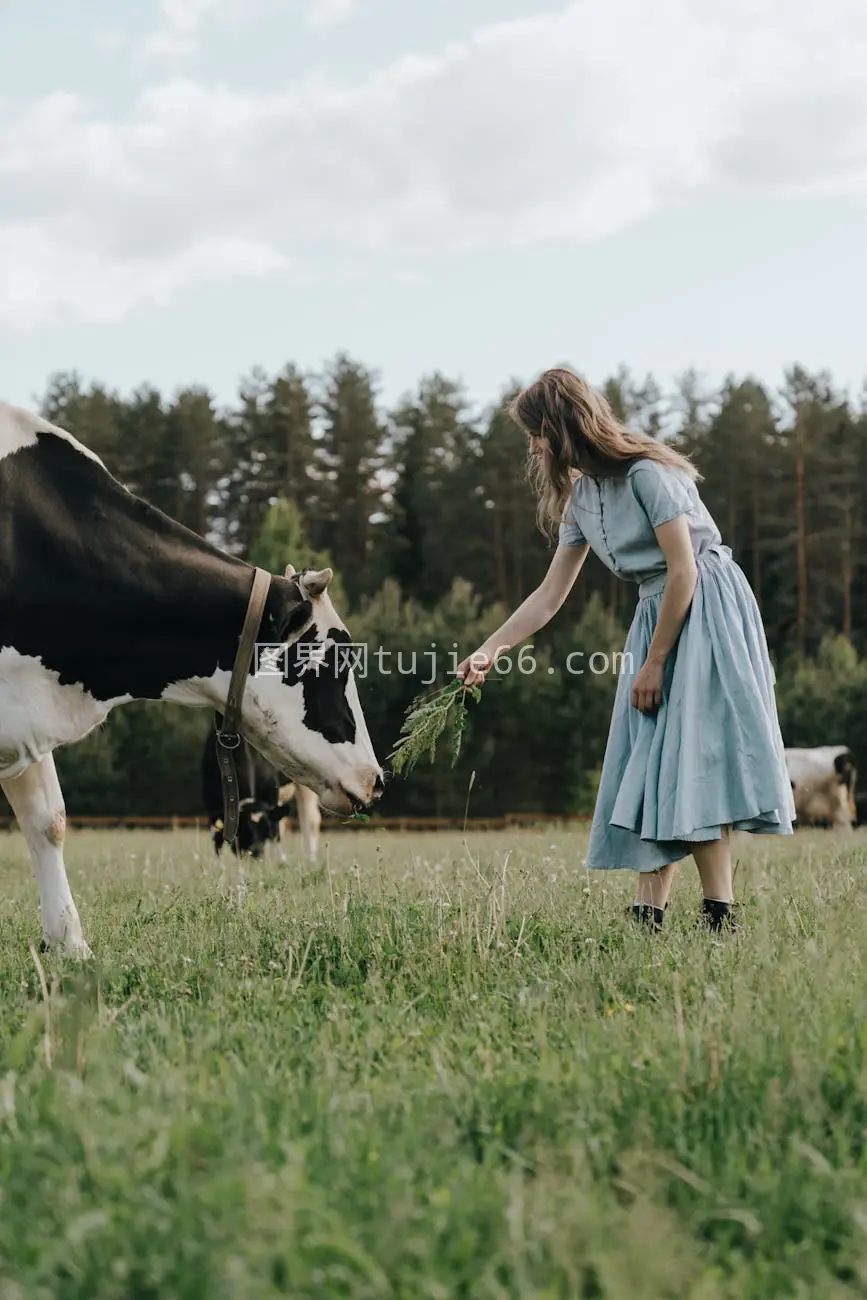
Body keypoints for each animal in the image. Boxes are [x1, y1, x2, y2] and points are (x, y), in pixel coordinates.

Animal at [201, 722, 321, 863]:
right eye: (243, 830)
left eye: (265, 831)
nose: (256, 854)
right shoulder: (212, 801)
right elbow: (216, 838)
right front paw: (218, 865)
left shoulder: (271, 792)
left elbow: (276, 830)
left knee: (309, 820)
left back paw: (309, 859)